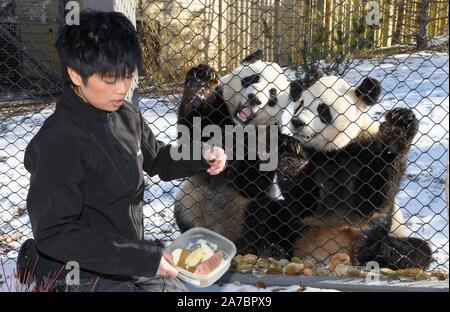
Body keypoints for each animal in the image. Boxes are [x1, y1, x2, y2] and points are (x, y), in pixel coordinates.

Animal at [174, 49, 300, 254]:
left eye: (272, 94)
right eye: (253, 78)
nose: (255, 99)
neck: (239, 126)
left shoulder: (265, 132)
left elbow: (252, 183)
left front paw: (288, 142)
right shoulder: (218, 112)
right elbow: (189, 138)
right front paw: (201, 81)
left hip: (248, 209)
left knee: (275, 215)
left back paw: (272, 248)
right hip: (191, 200)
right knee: (184, 213)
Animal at [276, 75, 434, 268]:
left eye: (323, 109)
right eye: (300, 104)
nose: (297, 122)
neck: (334, 150)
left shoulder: (364, 148)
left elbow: (377, 197)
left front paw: (397, 130)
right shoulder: (315, 159)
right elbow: (300, 201)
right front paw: (292, 156)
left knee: (418, 251)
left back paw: (373, 250)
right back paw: (273, 248)